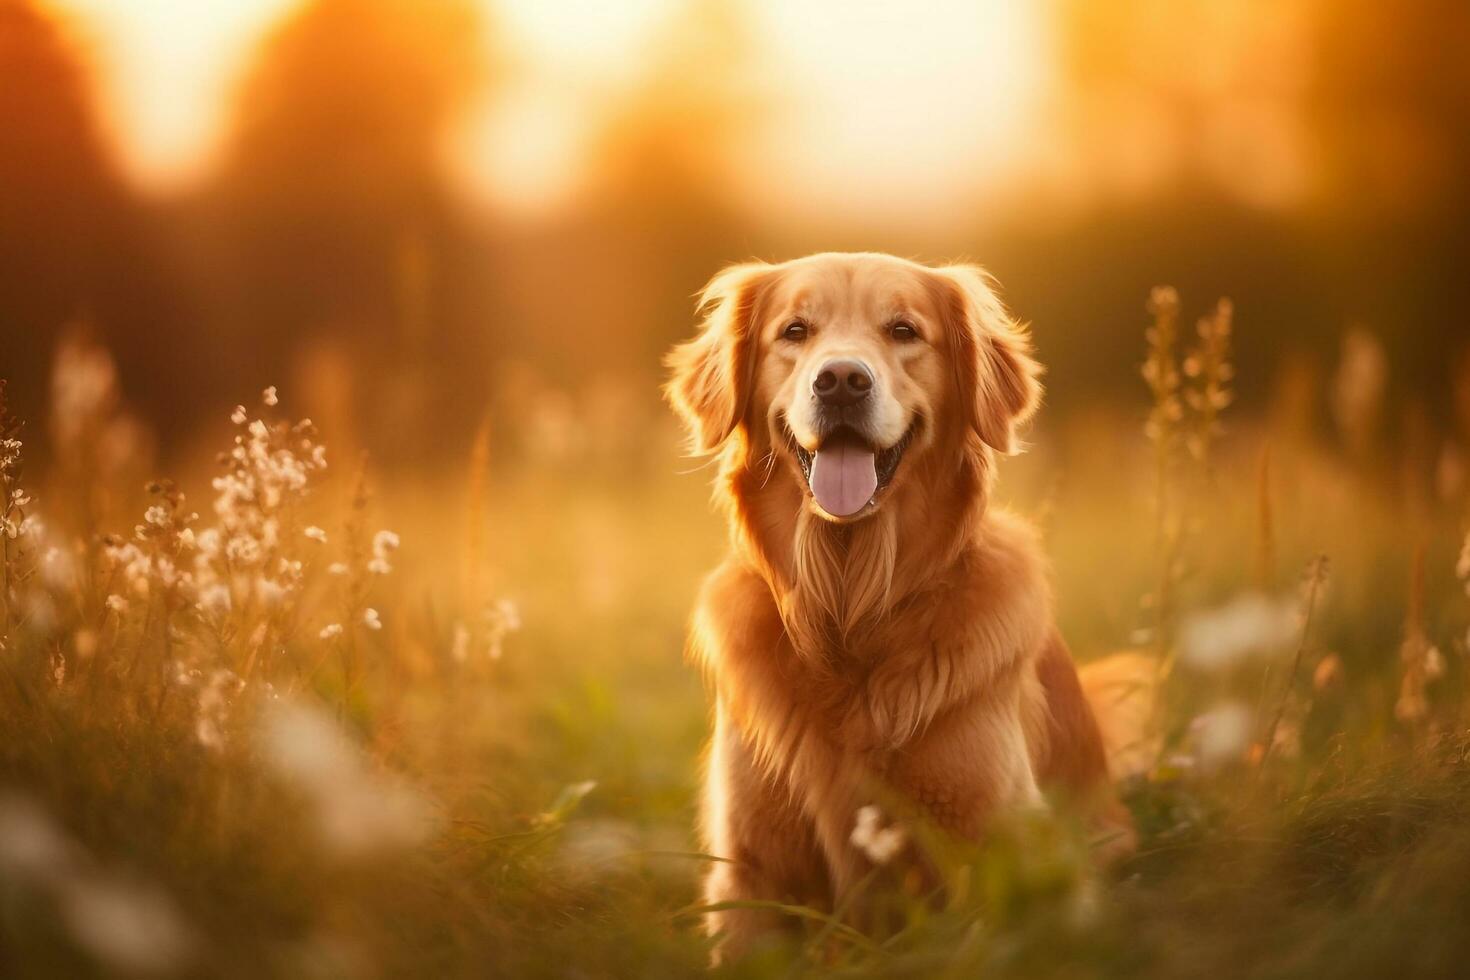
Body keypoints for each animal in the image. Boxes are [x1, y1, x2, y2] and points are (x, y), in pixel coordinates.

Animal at [667, 251, 1134, 957]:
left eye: (904, 330)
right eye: (795, 330)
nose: (840, 381)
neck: (850, 607)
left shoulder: (1021, 856)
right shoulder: (750, 870)